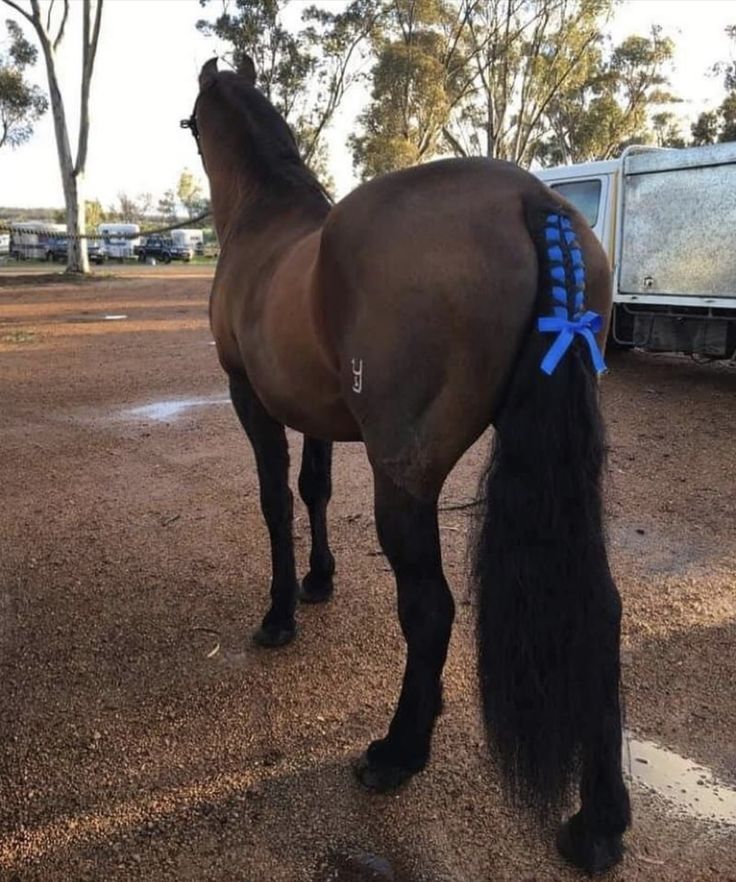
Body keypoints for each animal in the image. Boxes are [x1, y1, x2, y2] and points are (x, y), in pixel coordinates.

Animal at [183, 56, 628, 872]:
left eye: (192, 122)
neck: (266, 220)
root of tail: (534, 199)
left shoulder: (251, 399)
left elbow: (275, 500)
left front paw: (280, 613)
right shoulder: (315, 413)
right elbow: (315, 488)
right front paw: (318, 581)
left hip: (405, 481)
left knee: (429, 608)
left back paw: (397, 751)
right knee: (600, 608)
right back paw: (600, 824)